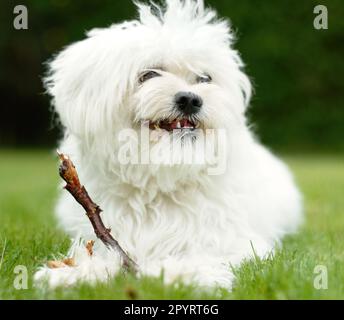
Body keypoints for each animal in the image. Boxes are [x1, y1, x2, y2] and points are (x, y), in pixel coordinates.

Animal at [35, 0, 302, 290]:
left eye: (204, 78)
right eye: (149, 74)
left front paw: (174, 272)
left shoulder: (236, 242)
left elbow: (205, 254)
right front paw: (73, 274)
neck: (161, 178)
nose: (190, 100)